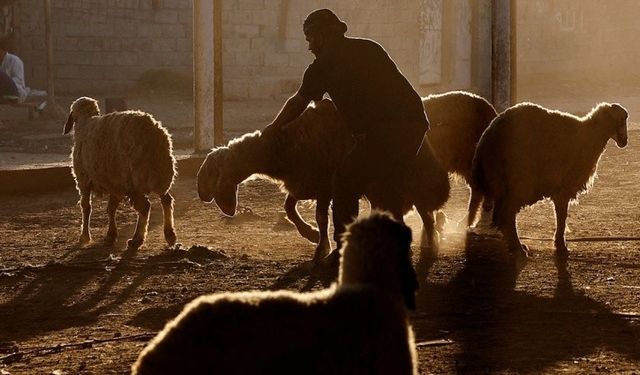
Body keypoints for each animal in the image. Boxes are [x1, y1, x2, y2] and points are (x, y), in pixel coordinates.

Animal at [63, 96, 178, 250]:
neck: (85, 122)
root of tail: (154, 133)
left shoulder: (83, 180)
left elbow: (86, 207)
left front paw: (85, 237)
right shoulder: (114, 183)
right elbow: (111, 208)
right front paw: (111, 234)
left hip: (134, 179)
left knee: (145, 207)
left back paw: (137, 240)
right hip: (160, 174)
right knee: (166, 200)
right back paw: (169, 234)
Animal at [196, 100, 450, 264]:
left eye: (212, 172)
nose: (202, 195)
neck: (283, 145)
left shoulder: (325, 186)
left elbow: (320, 216)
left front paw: (321, 247)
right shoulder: (304, 182)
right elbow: (289, 208)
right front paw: (310, 233)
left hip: (412, 186)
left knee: (427, 216)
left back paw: (430, 244)